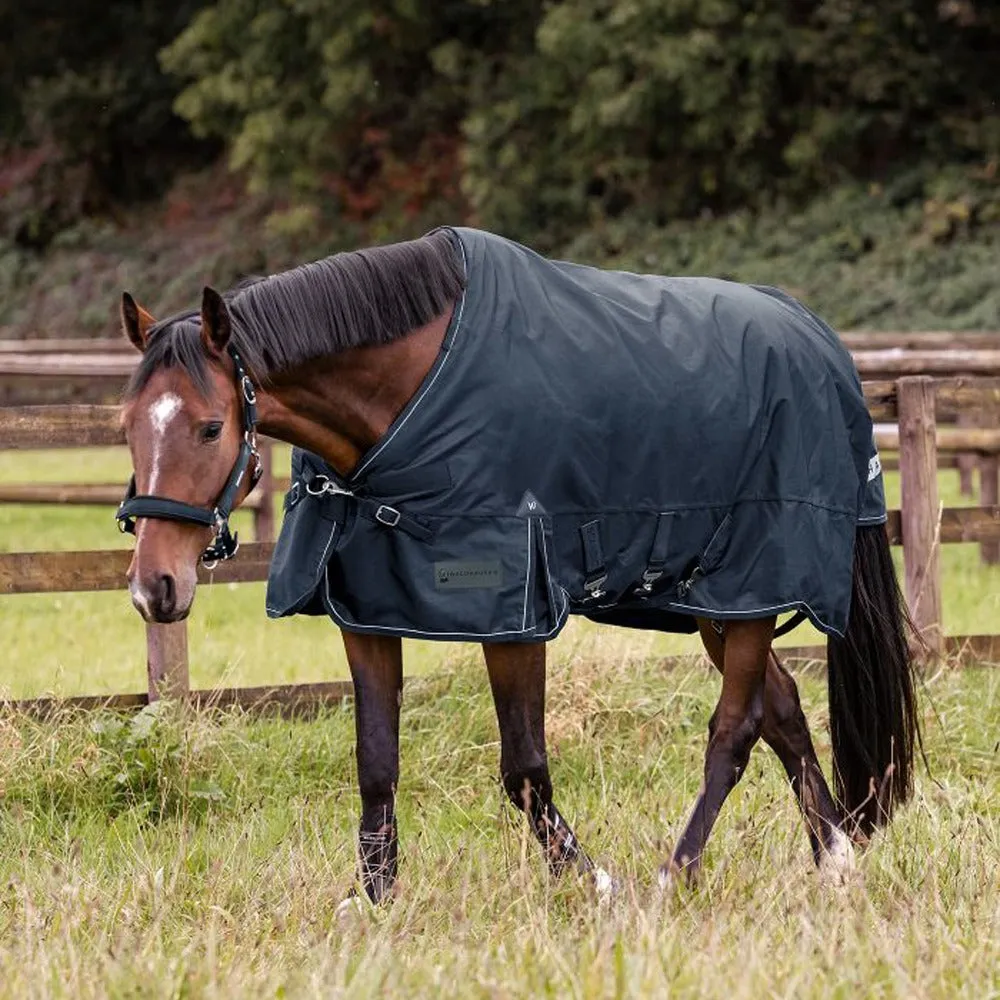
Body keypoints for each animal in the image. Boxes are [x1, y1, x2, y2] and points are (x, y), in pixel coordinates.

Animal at [116, 226, 919, 905]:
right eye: (126, 426)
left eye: (210, 427)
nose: (155, 589)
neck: (411, 400)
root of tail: (820, 342)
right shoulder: (368, 610)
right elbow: (376, 761)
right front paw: (374, 900)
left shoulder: (514, 614)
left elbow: (524, 768)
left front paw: (591, 884)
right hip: (718, 602)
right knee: (781, 708)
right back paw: (835, 863)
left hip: (751, 582)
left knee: (736, 729)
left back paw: (673, 877)